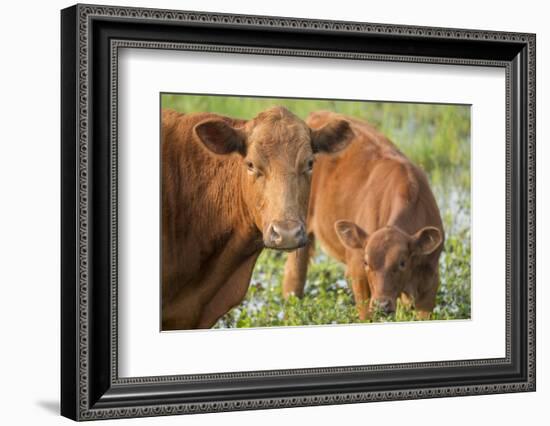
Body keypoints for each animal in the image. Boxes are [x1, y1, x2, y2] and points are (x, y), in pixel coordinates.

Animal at [282, 110, 446, 320]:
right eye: (367, 262)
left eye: (402, 263)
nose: (382, 305)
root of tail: (317, 115)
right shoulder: (357, 270)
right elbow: (365, 313)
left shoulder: (430, 278)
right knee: (294, 275)